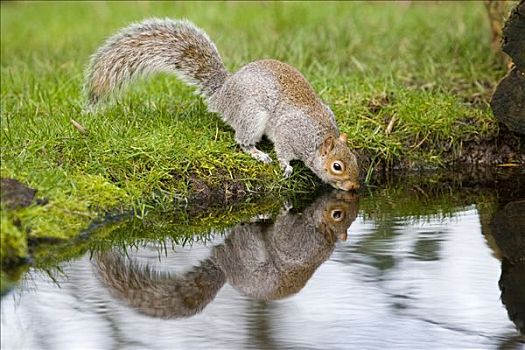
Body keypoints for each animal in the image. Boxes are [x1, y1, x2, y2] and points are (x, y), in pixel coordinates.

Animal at [84, 18, 358, 190]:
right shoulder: (289, 133)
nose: (354, 187)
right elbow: (282, 151)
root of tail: (224, 94)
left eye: (356, 160)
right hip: (253, 115)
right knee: (242, 140)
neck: (316, 136)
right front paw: (286, 166)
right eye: (337, 166)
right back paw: (257, 153)